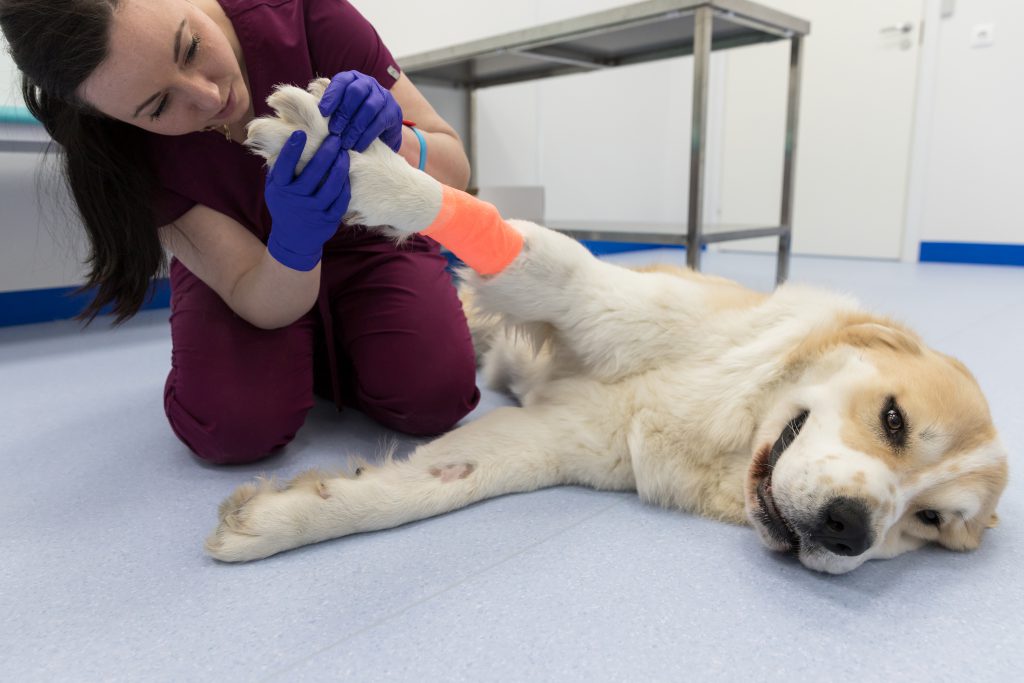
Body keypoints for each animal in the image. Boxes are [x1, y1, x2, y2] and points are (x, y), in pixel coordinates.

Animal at [201, 77, 1007, 573]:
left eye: (930, 520)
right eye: (894, 419)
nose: (850, 528)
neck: (726, 416)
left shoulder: (546, 440)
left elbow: (423, 487)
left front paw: (282, 518)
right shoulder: (581, 289)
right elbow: (481, 225)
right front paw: (355, 165)